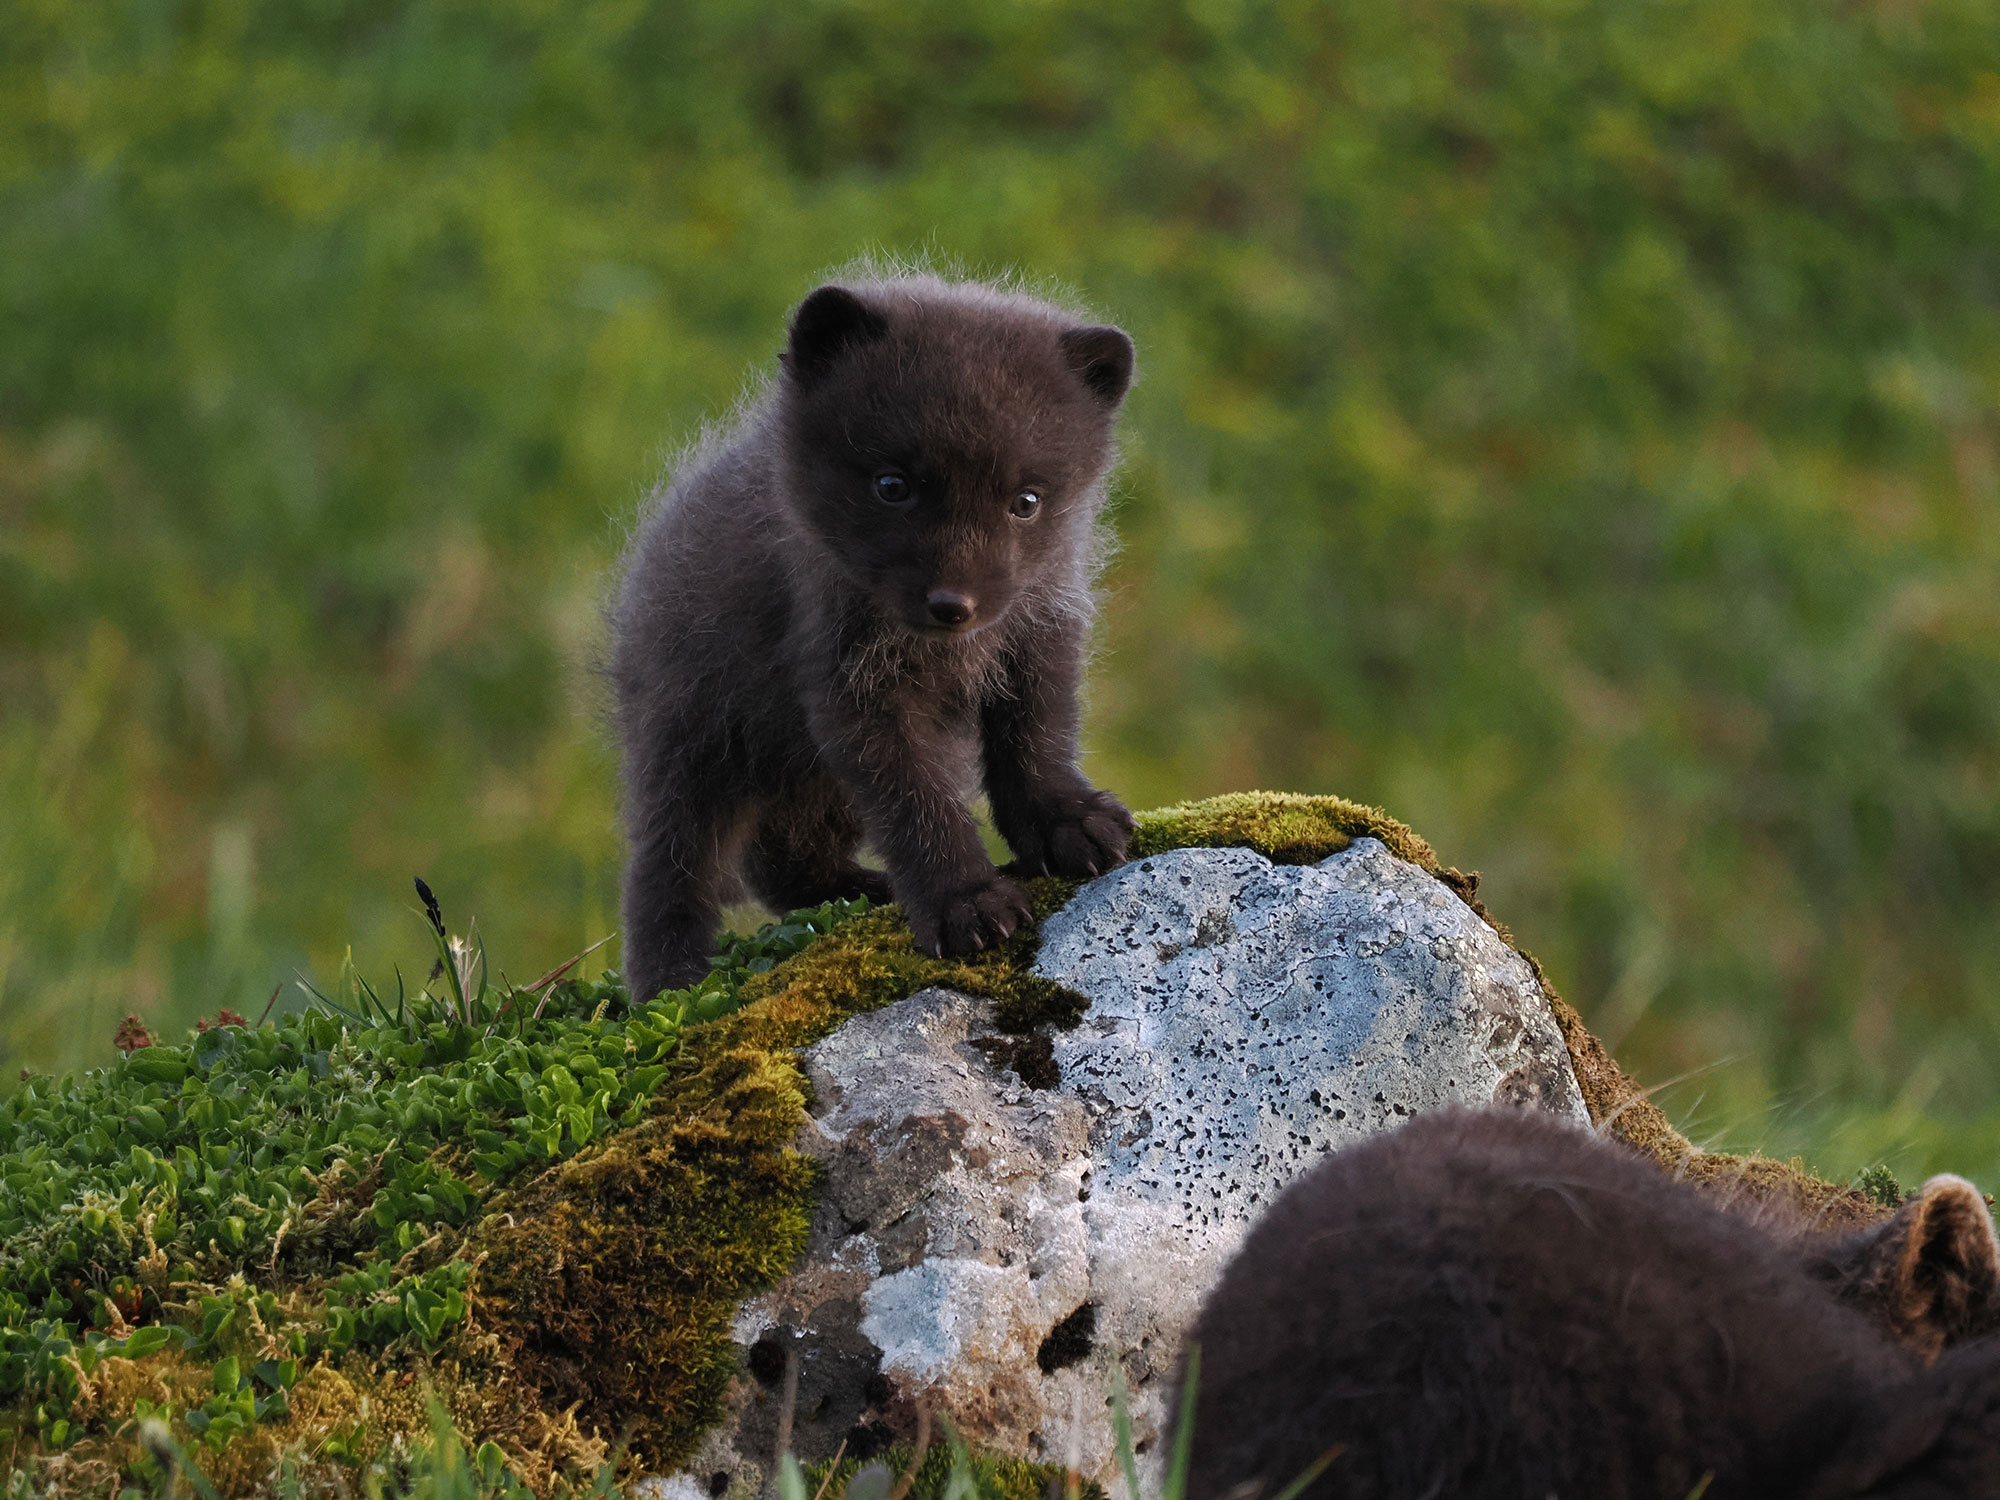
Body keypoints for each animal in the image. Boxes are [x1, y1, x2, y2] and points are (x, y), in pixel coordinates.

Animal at [611, 274, 1136, 1001]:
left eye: (1026, 502)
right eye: (892, 485)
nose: (953, 604)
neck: (946, 652)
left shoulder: (1038, 633)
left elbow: (1037, 740)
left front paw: (1070, 820)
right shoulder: (847, 682)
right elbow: (915, 803)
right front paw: (965, 900)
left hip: (801, 775)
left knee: (787, 859)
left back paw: (860, 891)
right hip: (694, 739)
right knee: (671, 871)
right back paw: (674, 987)